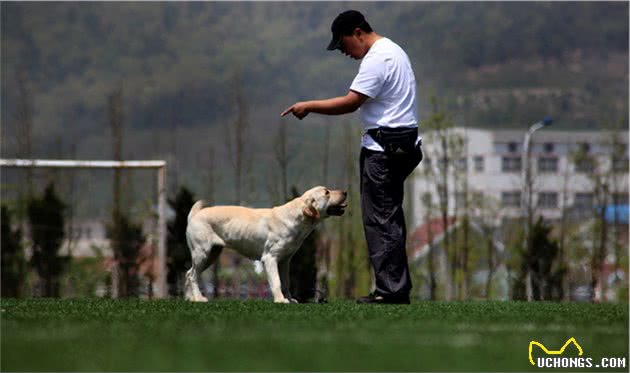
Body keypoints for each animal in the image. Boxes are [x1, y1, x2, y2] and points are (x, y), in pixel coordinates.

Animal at [185, 186, 348, 302]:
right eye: (326, 192)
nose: (345, 192)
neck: (297, 218)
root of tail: (195, 214)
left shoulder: (285, 260)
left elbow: (286, 282)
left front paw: (289, 299)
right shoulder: (270, 258)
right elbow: (276, 281)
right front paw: (281, 300)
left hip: (212, 254)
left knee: (188, 273)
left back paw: (190, 298)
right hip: (202, 253)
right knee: (193, 276)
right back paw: (199, 298)